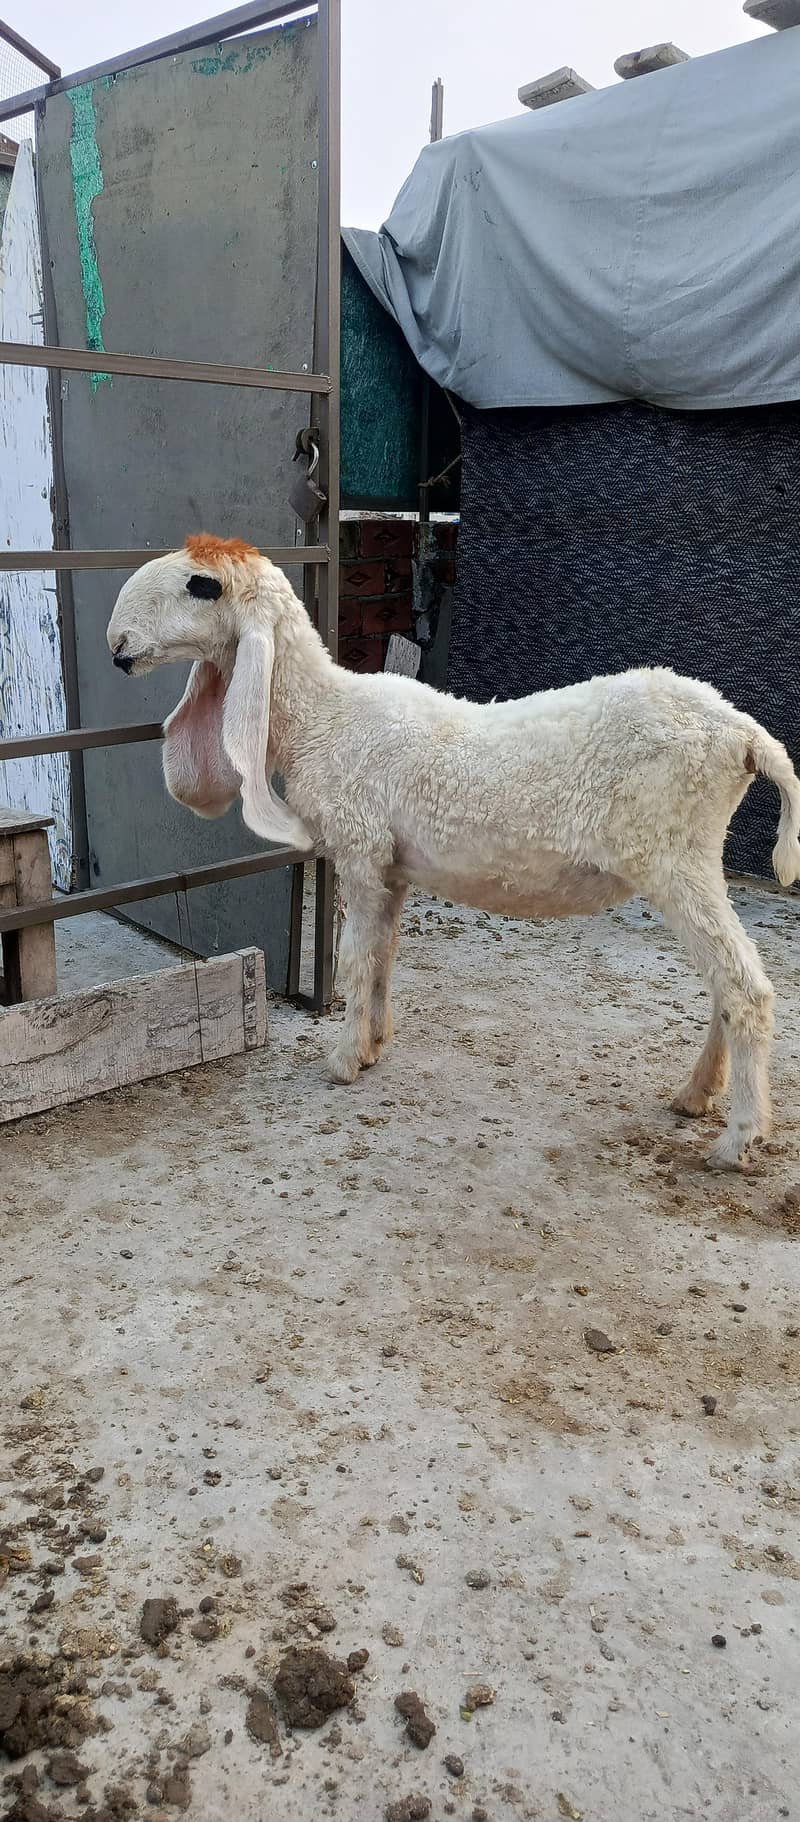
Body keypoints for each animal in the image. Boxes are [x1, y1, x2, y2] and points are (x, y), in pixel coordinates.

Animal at [107, 533, 800, 1172]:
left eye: (202, 586)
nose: (117, 647)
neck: (324, 717)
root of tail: (743, 734)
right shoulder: (391, 867)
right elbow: (383, 956)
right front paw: (374, 1043)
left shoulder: (359, 848)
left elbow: (355, 957)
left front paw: (342, 1061)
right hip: (696, 857)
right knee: (725, 983)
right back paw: (695, 1095)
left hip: (673, 855)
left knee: (745, 988)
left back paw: (736, 1140)